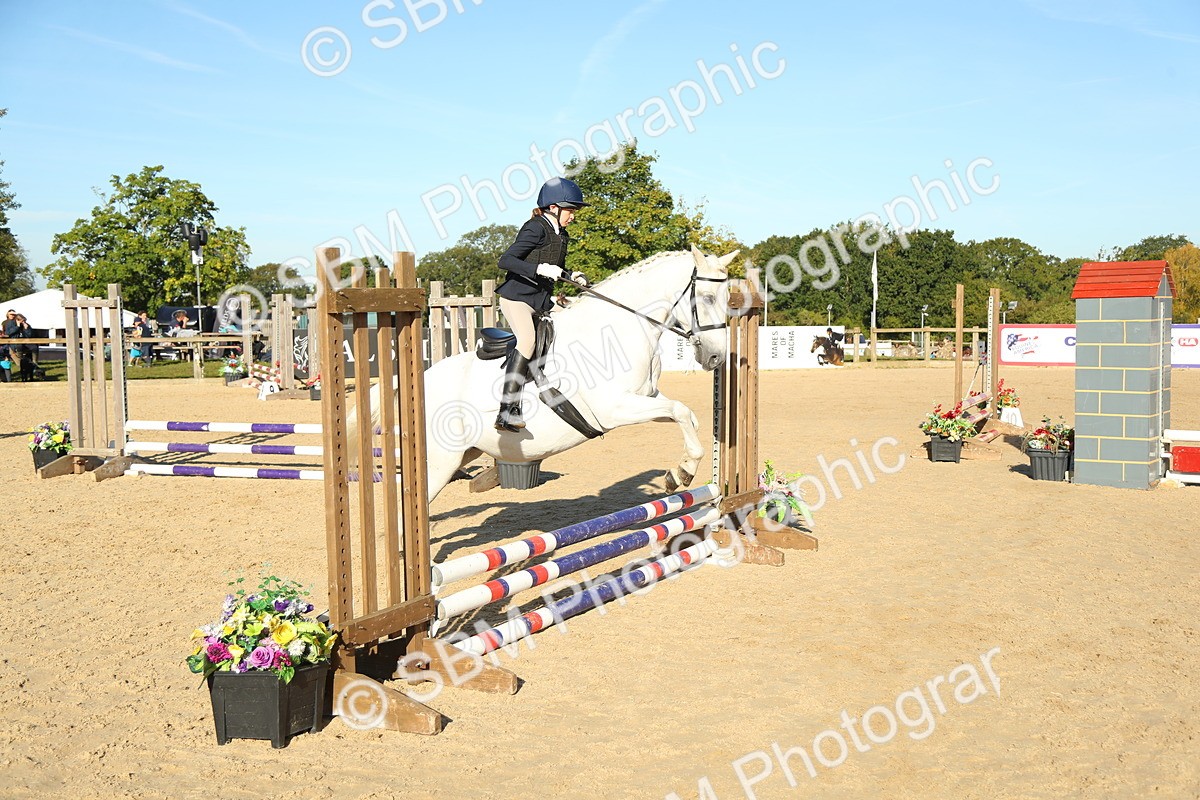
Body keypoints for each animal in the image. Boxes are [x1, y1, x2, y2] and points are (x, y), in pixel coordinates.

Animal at [351, 246, 738, 501]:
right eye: (705, 297)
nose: (716, 357)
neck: (621, 324)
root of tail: (415, 382)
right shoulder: (616, 407)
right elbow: (680, 412)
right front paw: (682, 473)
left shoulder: (646, 398)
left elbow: (684, 414)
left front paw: (679, 472)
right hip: (439, 463)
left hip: (465, 453)